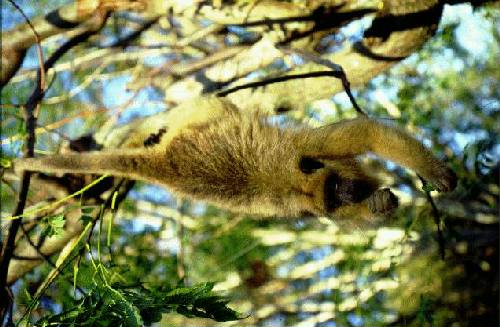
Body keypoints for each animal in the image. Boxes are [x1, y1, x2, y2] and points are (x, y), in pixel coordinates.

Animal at [13, 96, 458, 220]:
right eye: (335, 190)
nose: (348, 193)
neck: (300, 181)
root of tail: (165, 162)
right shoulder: (306, 181)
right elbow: (365, 135)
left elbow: (364, 136)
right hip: (201, 112)